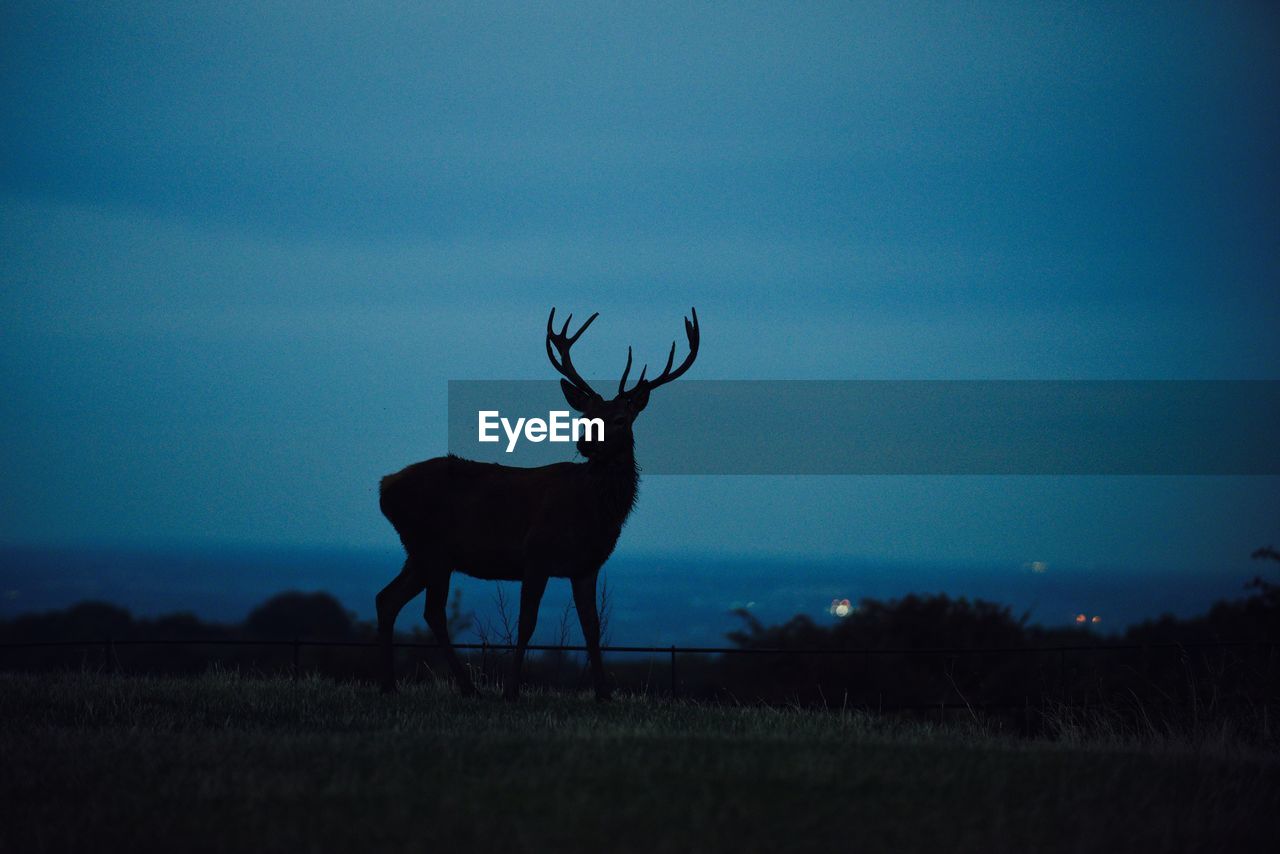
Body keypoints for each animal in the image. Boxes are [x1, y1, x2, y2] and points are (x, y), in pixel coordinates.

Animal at [376, 307, 701, 701]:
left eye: (620, 419)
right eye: (585, 415)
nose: (585, 442)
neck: (593, 510)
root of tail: (384, 487)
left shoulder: (587, 566)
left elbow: (592, 626)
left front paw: (604, 694)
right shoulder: (536, 554)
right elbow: (527, 623)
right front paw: (512, 690)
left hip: (420, 552)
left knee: (387, 599)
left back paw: (391, 684)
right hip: (432, 547)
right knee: (433, 612)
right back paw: (467, 688)